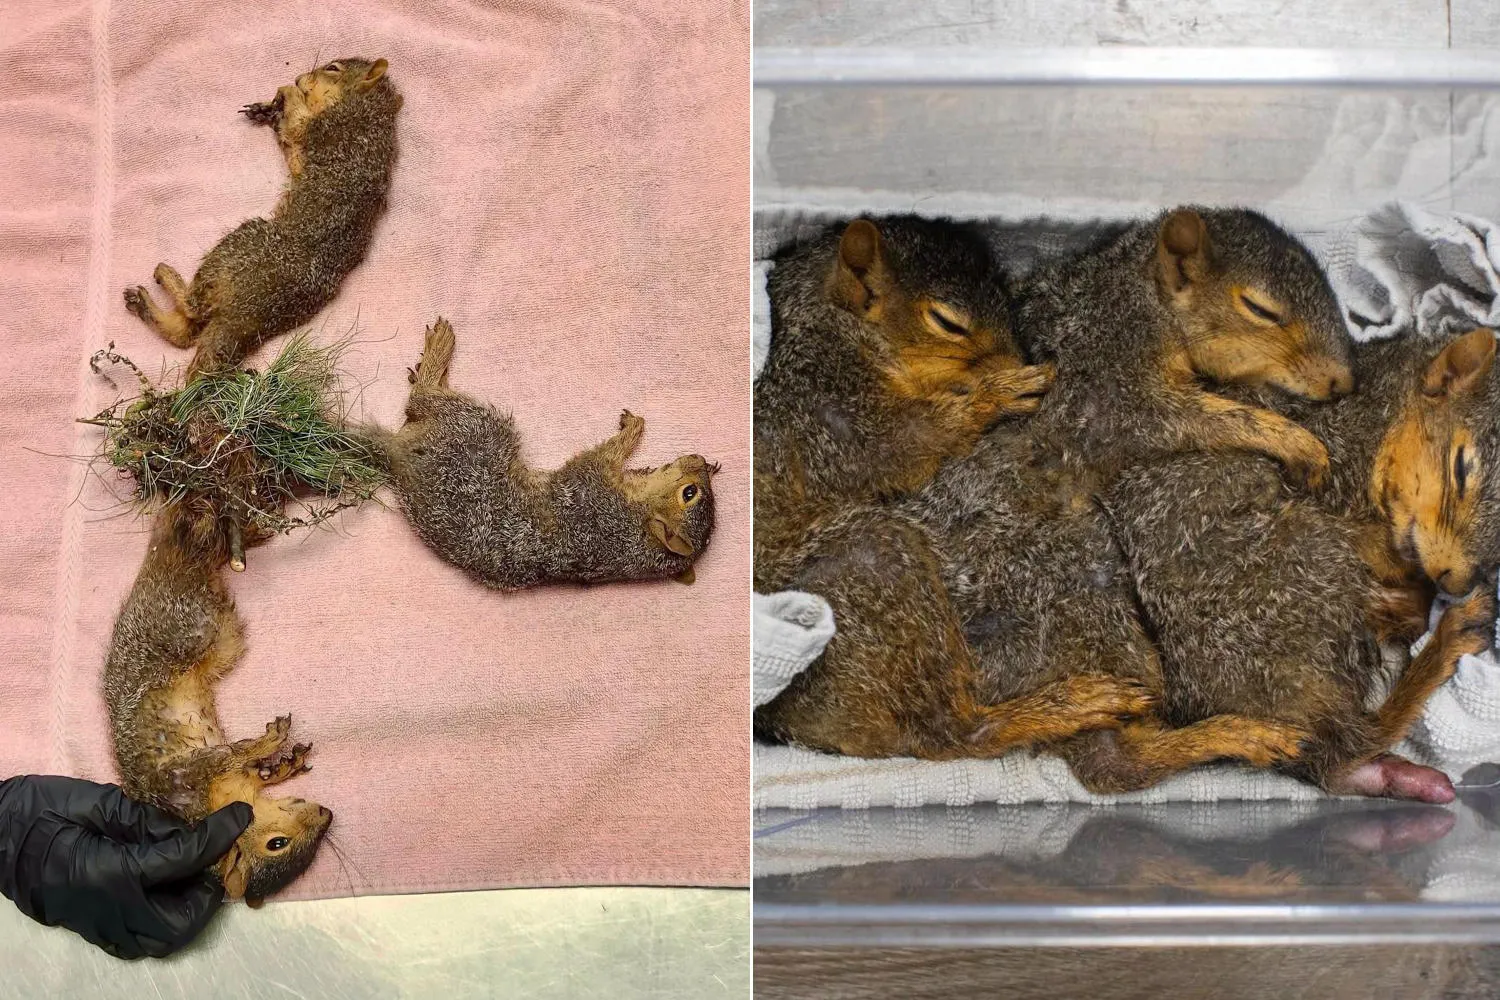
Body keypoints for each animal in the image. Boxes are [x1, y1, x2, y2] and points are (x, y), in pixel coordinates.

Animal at [104, 502, 331, 906]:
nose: (327, 813)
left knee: (195, 546)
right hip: (202, 629)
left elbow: (250, 767)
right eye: (278, 844)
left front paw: (281, 767)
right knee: (195, 552)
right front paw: (271, 745)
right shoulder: (190, 773)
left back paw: (228, 529)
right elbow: (232, 754)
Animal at [123, 58, 400, 378]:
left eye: (333, 68)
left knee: (192, 311)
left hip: (238, 248)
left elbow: (298, 125)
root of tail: (248, 317)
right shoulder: (303, 156)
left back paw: (166, 278)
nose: (300, 76)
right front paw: (268, 110)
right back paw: (146, 305)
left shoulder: (325, 128)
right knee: (185, 333)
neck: (369, 111)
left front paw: (287, 92)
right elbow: (292, 152)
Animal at [364, 318, 717, 590]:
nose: (699, 459)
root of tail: (398, 455)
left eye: (689, 493)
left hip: (478, 429)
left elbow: (602, 456)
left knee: (419, 401)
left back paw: (437, 350)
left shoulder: (590, 488)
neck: (635, 528)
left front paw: (632, 430)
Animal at [1080, 327, 1500, 799]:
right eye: (1461, 468)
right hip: (1313, 548)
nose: (1458, 582)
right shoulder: (1339, 482)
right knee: (1355, 741)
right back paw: (1448, 635)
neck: (1381, 419)